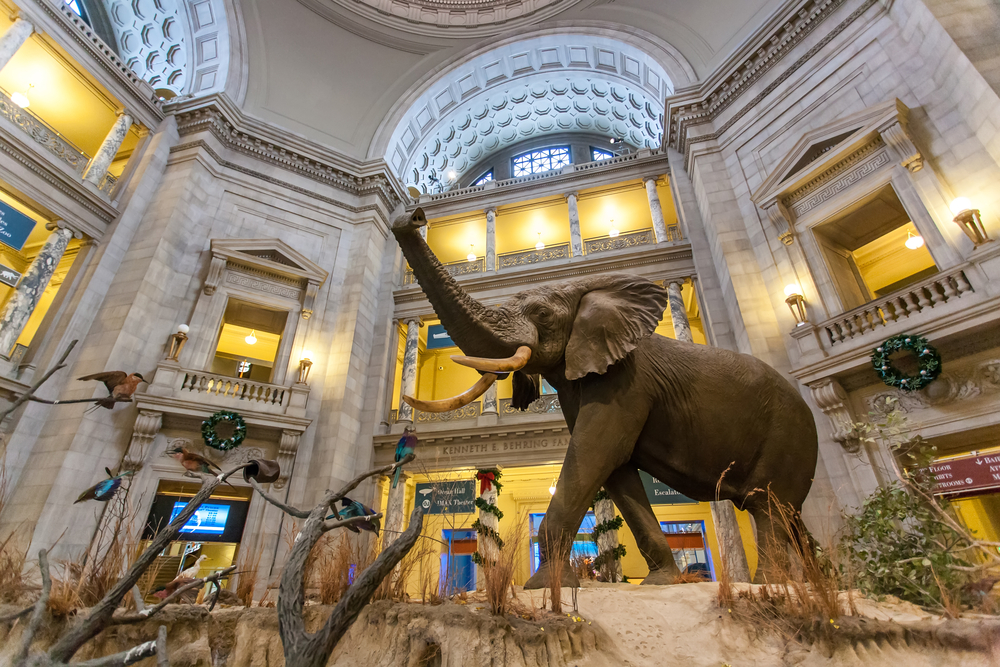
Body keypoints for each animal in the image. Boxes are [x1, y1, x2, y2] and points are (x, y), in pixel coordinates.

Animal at [388, 207, 812, 584]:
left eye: (542, 314)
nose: (412, 215)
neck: (585, 290)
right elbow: (617, 470)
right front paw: (662, 582)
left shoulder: (626, 382)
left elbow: (594, 455)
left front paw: (545, 586)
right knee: (788, 518)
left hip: (786, 436)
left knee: (767, 509)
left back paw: (771, 586)